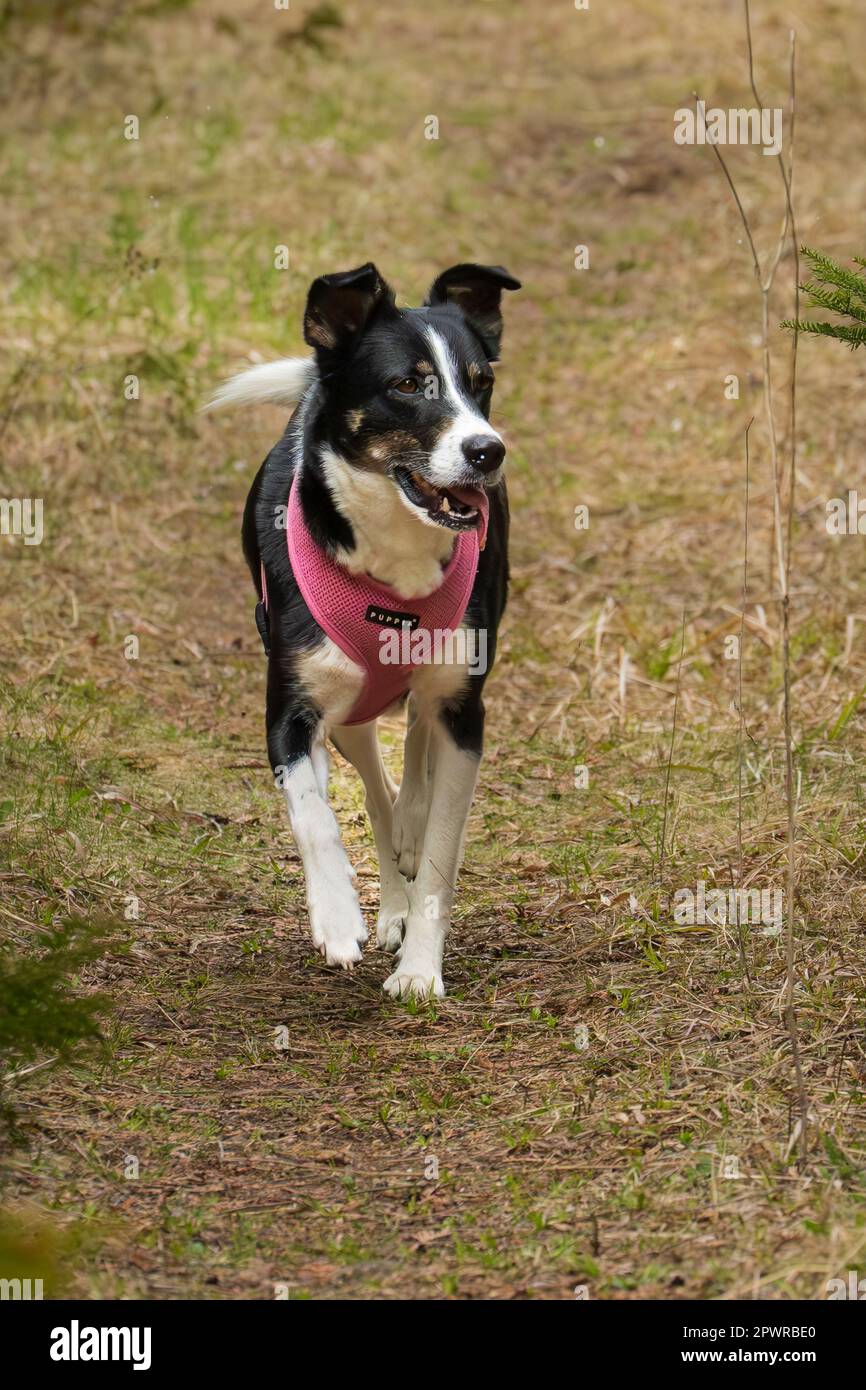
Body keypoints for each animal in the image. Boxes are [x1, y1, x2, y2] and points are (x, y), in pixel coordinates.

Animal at [209, 261, 522, 1000]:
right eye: (407, 384)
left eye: (481, 382)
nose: (487, 450)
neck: (395, 557)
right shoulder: (290, 710)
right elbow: (313, 814)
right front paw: (336, 916)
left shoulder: (465, 711)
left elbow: (440, 850)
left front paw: (420, 971)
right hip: (347, 715)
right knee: (374, 790)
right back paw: (388, 895)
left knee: (414, 744)